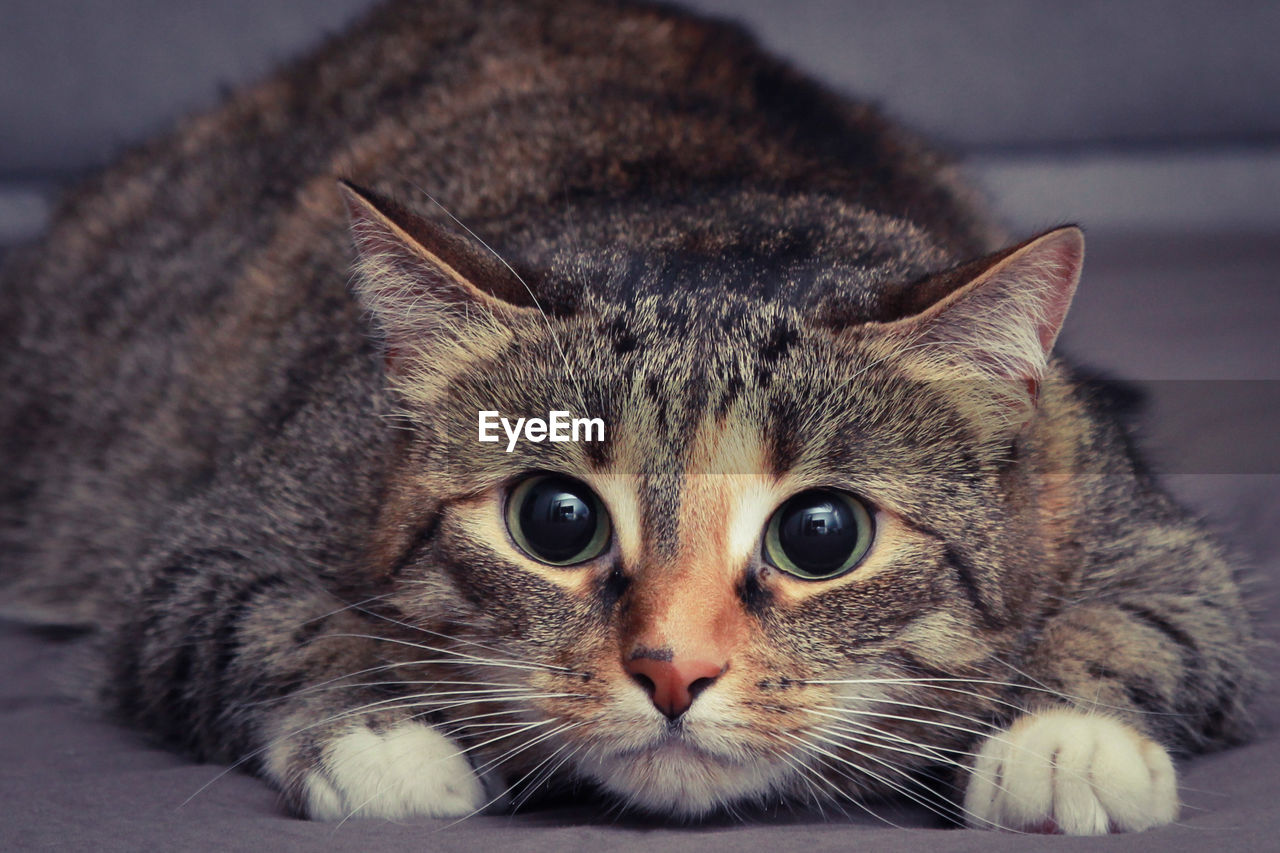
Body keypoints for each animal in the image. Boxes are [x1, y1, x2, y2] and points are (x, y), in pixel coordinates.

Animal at [0, 0, 1249, 829]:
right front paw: (384, 736)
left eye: (821, 534)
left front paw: (1066, 742)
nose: (670, 672)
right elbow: (272, 619)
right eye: (554, 521)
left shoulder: (1132, 517)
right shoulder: (214, 541)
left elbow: (1146, 619)